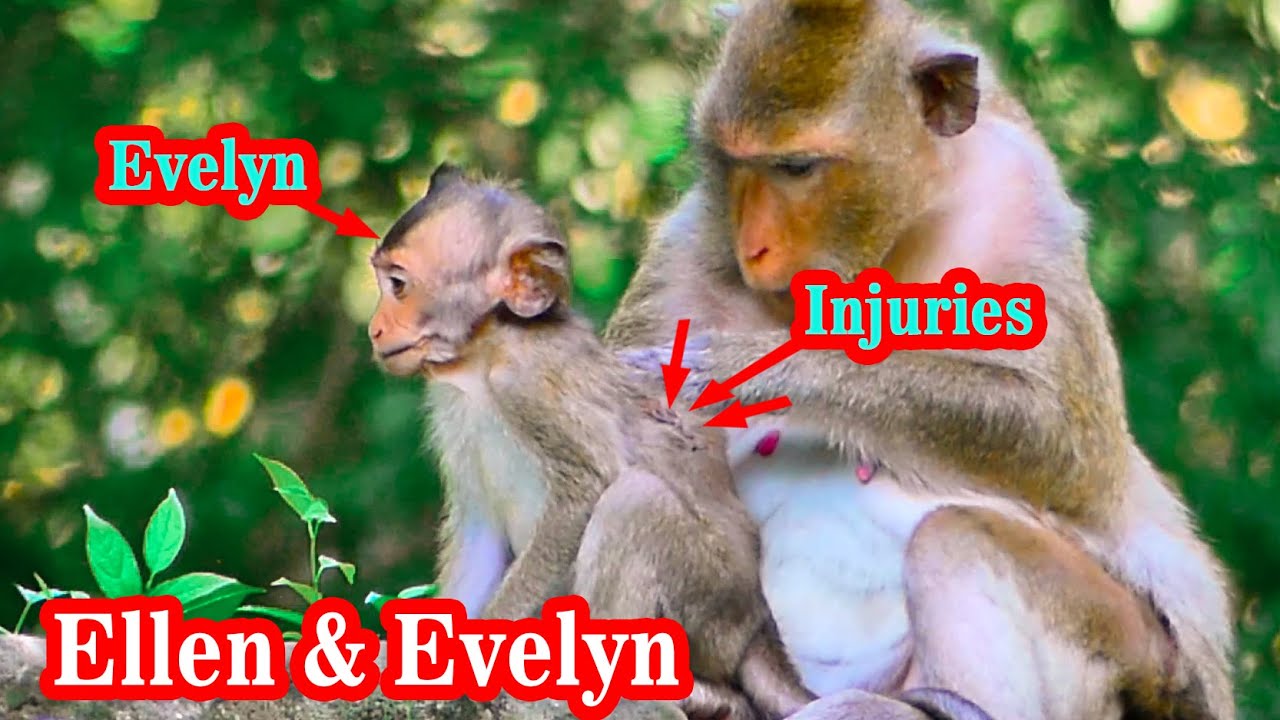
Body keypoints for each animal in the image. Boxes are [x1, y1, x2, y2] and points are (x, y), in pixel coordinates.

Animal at [365, 164, 817, 720]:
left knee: (634, 502)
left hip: (714, 609)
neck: (486, 355)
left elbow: (585, 492)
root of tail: (755, 630)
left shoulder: (531, 385)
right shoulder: (452, 409)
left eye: (399, 285)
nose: (375, 328)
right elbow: (478, 530)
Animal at [604, 2, 1236, 720]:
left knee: (958, 536)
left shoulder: (1021, 198)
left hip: (1140, 660)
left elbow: (1071, 451)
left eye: (798, 169)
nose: (753, 248)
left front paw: (758, 367)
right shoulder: (688, 247)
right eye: (731, 161)